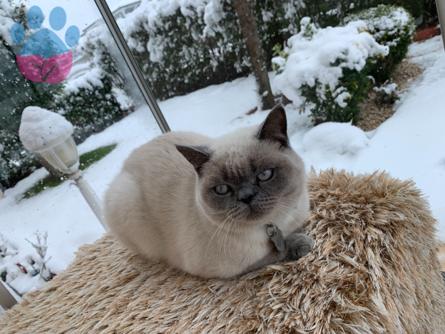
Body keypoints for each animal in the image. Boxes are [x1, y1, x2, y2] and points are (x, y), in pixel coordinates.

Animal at [104, 105, 312, 278]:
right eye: (222, 189)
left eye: (264, 175)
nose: (246, 197)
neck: (271, 225)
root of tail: (126, 162)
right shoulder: (233, 268)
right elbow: (277, 252)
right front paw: (300, 244)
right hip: (125, 202)